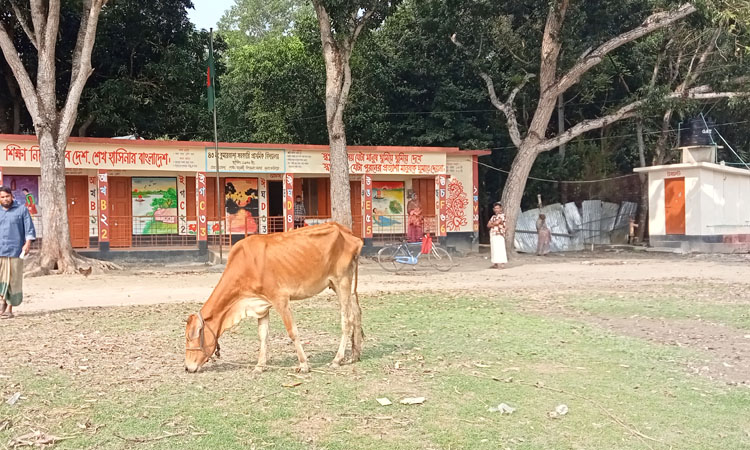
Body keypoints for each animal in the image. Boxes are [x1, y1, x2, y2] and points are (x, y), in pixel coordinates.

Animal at [187, 221, 366, 372]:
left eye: (189, 338)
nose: (187, 367)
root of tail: (348, 233)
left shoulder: (280, 299)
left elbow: (292, 331)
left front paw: (303, 364)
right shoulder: (261, 305)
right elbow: (263, 336)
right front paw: (259, 366)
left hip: (342, 281)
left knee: (347, 319)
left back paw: (337, 359)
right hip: (343, 286)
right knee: (357, 313)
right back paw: (355, 355)